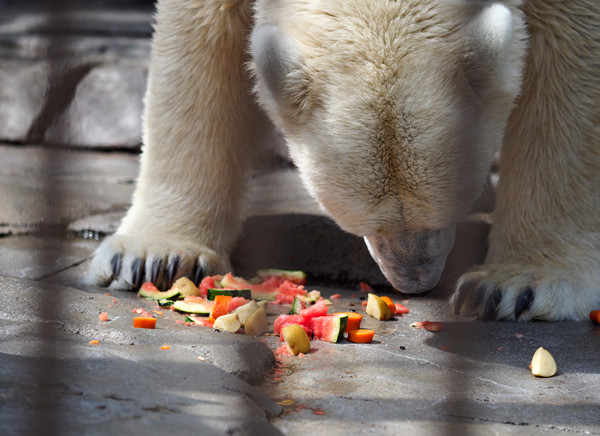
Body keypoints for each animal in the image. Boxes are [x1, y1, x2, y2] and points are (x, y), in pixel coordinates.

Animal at [88, 0, 600, 320]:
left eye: (444, 212)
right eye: (365, 225)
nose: (415, 281)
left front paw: (516, 285)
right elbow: (198, 44)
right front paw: (155, 256)